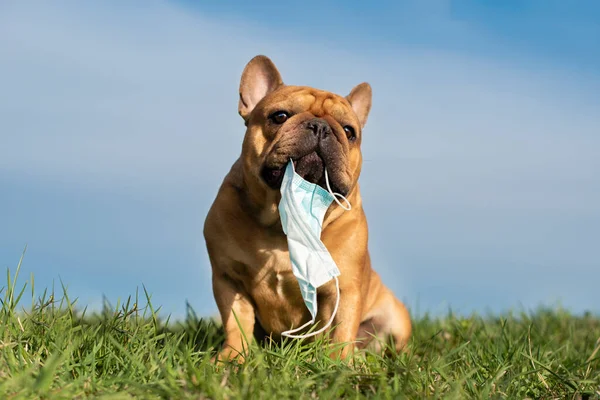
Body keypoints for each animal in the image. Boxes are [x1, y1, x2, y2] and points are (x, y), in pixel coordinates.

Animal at [204, 54, 410, 362]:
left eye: (349, 132)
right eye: (279, 116)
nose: (321, 127)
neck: (285, 215)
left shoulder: (343, 289)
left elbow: (340, 331)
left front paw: (339, 364)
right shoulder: (229, 279)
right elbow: (236, 323)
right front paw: (232, 358)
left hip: (395, 319)